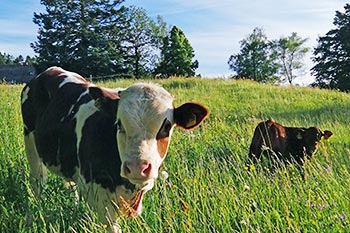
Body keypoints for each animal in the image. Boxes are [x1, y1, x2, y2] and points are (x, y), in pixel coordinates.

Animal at [20, 66, 209, 232]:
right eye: (119, 124)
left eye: (166, 127)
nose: (137, 168)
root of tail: (50, 70)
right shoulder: (100, 199)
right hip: (29, 139)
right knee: (37, 181)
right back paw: (35, 210)